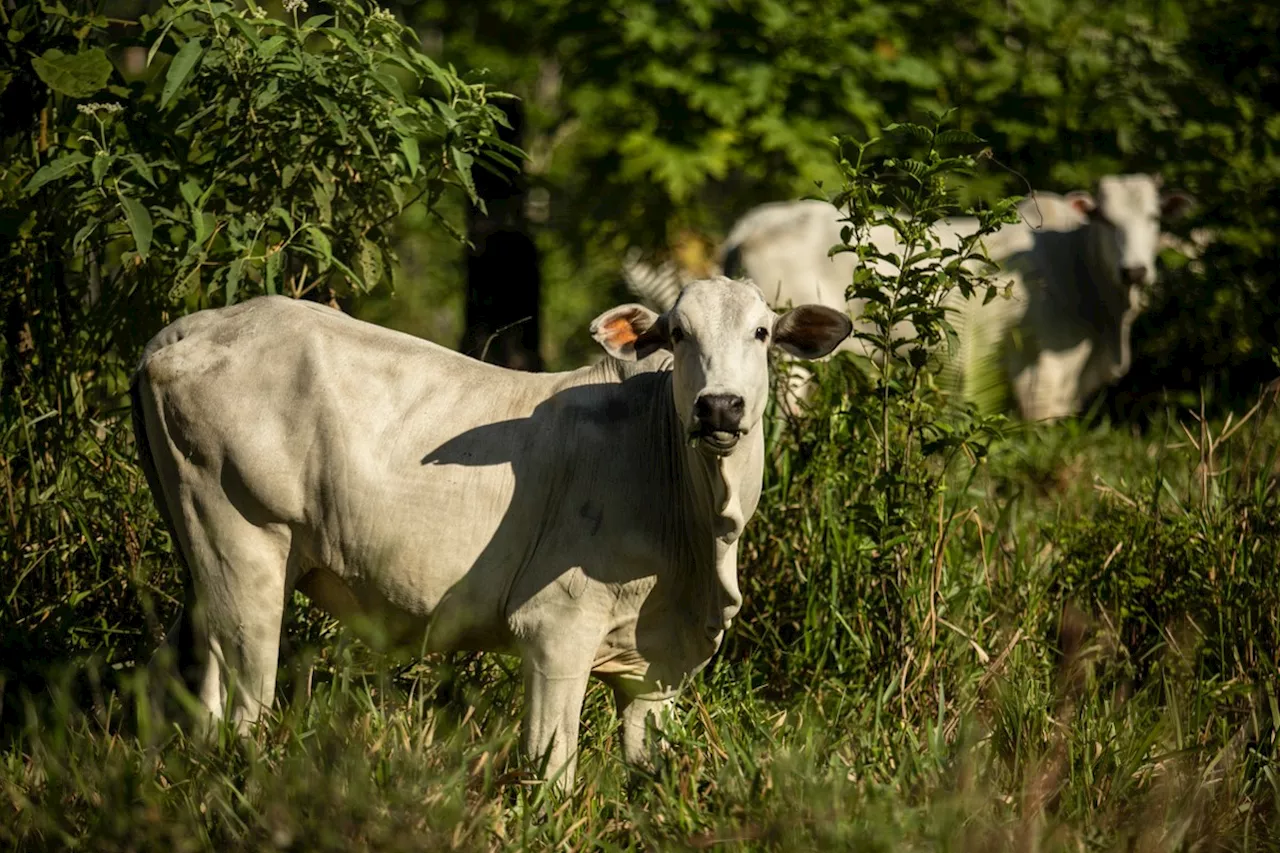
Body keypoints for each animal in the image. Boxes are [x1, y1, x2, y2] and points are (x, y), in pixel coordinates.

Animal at [132, 281, 849, 788]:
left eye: (762, 331)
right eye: (677, 332)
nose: (719, 406)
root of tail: (189, 327)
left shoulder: (657, 674)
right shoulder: (556, 629)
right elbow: (552, 772)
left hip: (204, 558)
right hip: (246, 551)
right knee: (243, 714)